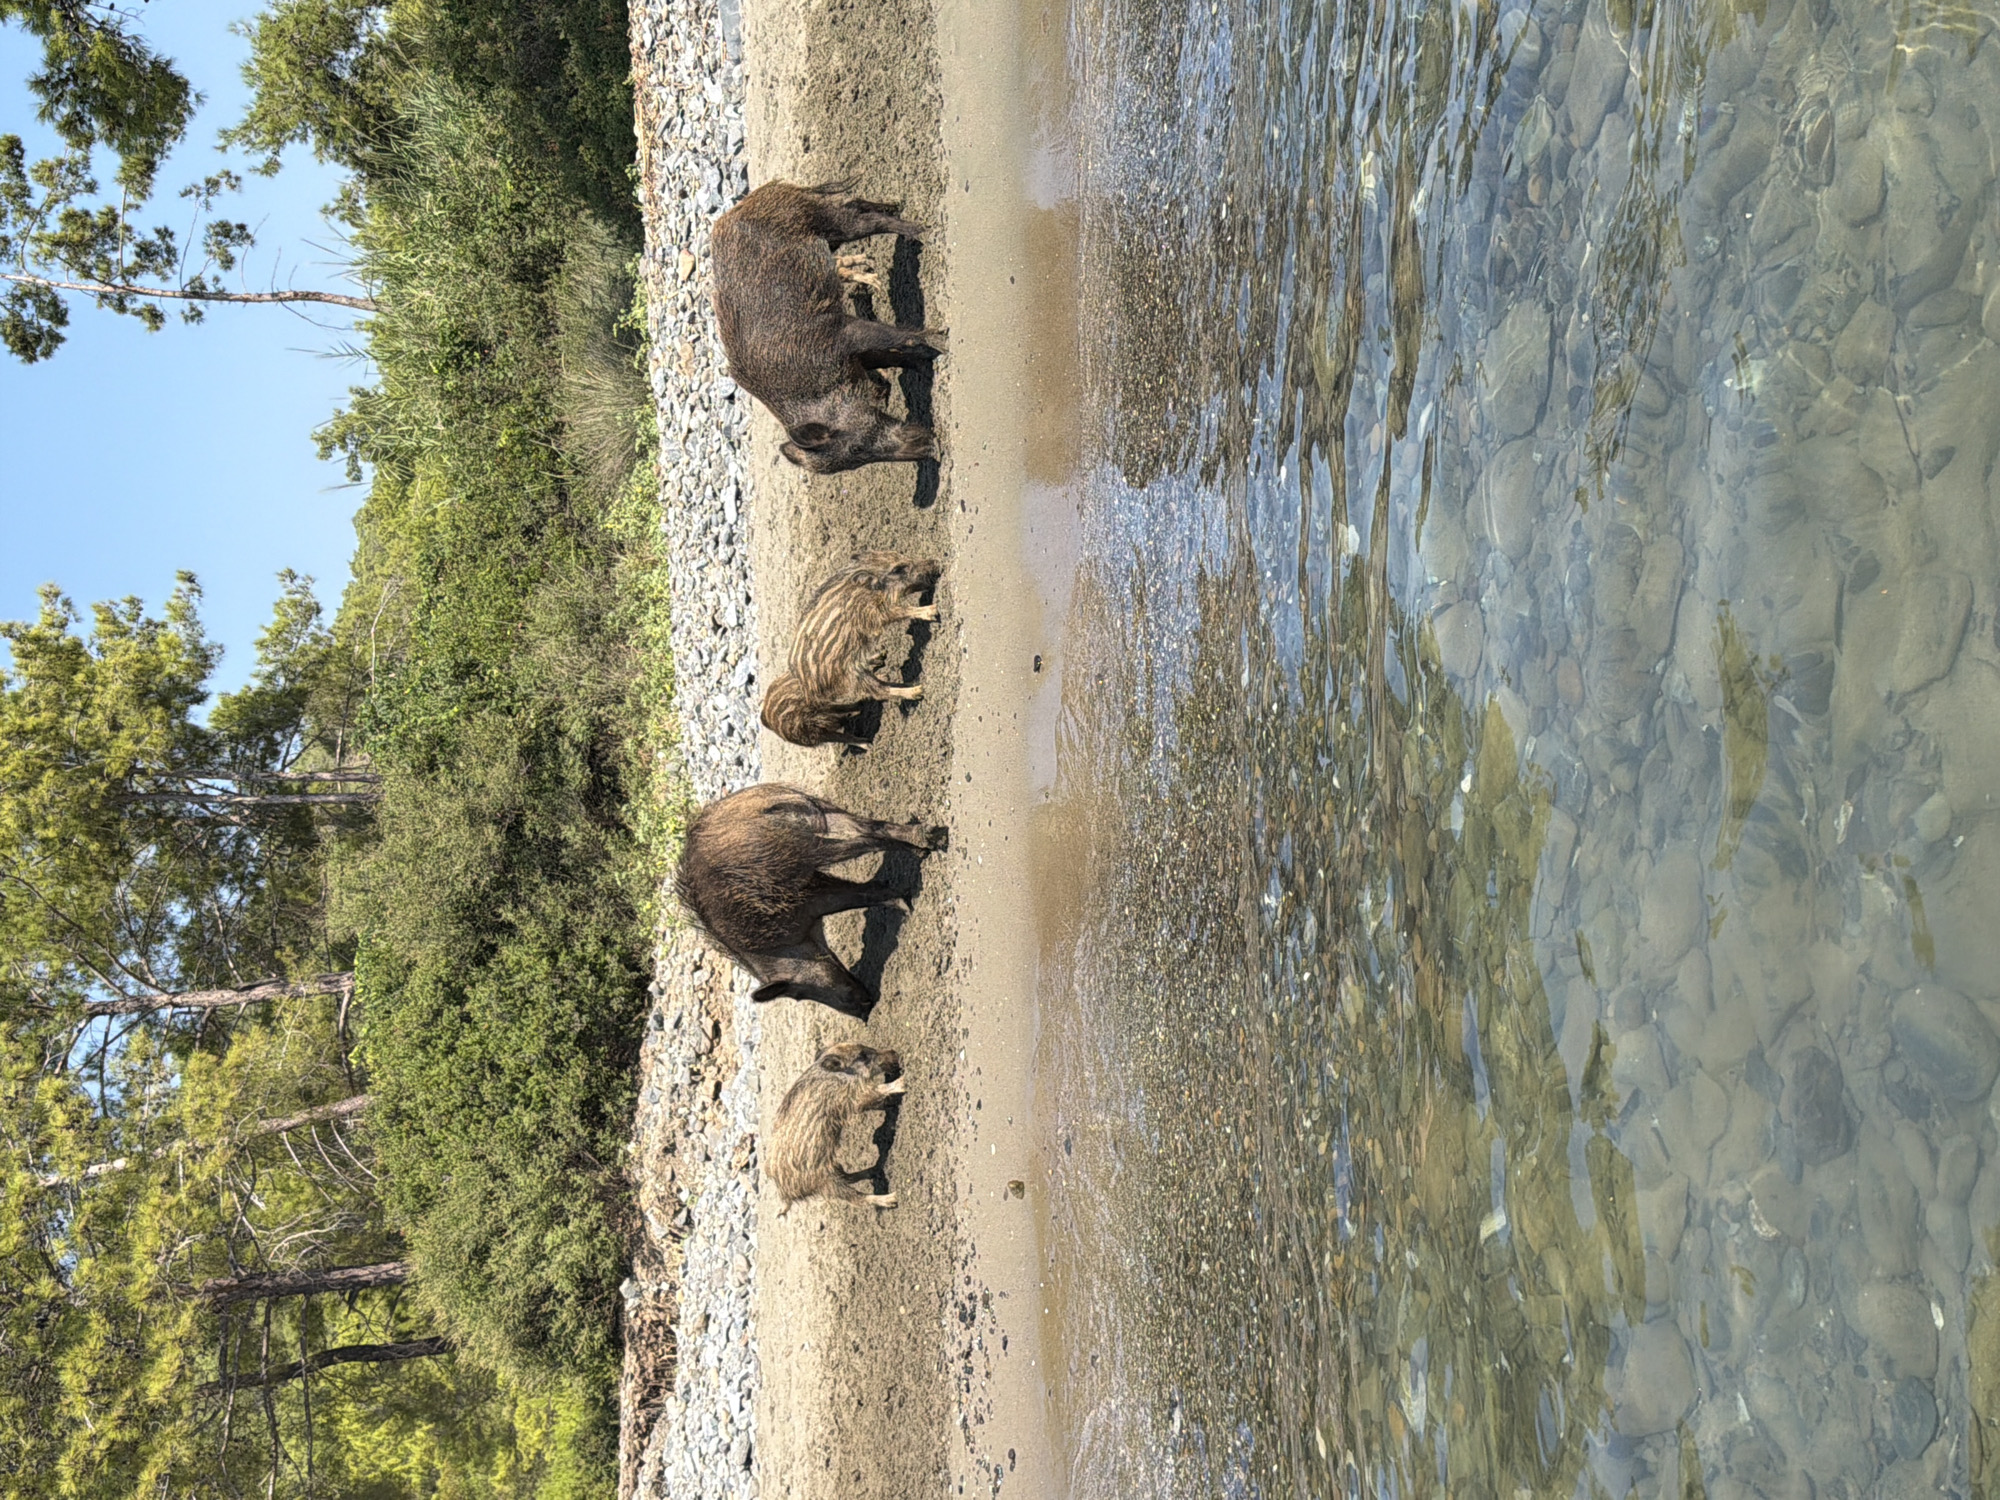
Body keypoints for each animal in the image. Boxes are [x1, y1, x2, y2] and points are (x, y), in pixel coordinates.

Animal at [674, 783, 944, 1012]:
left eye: (798, 994)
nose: (865, 1011)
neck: (782, 946)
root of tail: (763, 807)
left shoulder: (805, 905)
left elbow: (861, 894)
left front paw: (906, 906)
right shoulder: (812, 886)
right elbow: (868, 888)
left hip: (805, 848)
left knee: (864, 840)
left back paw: (923, 846)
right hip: (821, 816)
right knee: (869, 826)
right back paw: (925, 838)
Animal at [710, 179, 944, 473]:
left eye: (856, 448)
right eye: (853, 461)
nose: (932, 449)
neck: (817, 389)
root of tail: (751, 199)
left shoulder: (842, 333)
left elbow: (898, 337)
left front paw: (942, 340)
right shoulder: (855, 357)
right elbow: (892, 358)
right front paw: (924, 364)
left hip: (827, 221)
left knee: (867, 220)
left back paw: (920, 231)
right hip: (829, 235)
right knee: (856, 204)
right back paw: (896, 206)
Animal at [762, 550, 942, 747]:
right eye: (898, 569)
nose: (935, 563)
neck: (864, 589)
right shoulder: (872, 614)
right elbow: (898, 611)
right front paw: (930, 611)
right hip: (833, 703)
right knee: (873, 695)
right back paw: (912, 694)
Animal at [769, 1042, 905, 1212]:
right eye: (862, 1056)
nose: (895, 1054)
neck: (837, 1075)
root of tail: (786, 1195)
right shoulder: (852, 1096)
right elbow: (877, 1091)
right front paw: (902, 1082)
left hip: (832, 1169)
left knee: (848, 1177)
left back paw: (875, 1170)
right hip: (825, 1181)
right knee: (855, 1198)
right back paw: (891, 1199)